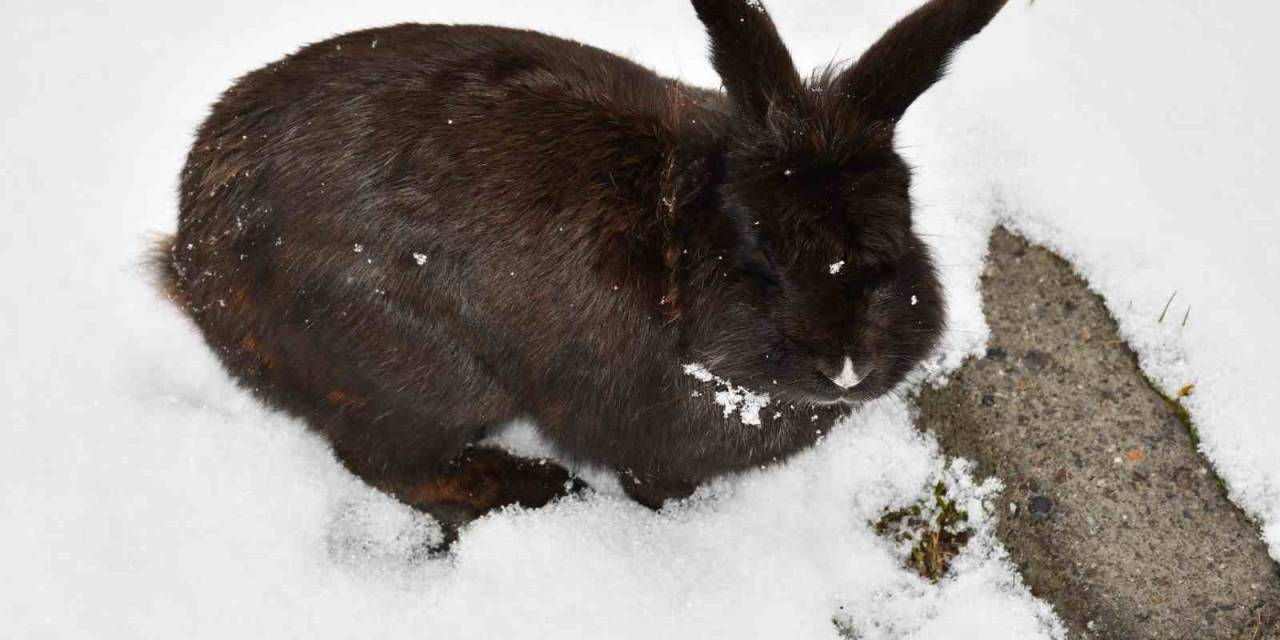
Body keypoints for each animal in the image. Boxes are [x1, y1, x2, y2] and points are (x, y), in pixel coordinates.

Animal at [152, 0, 1008, 529]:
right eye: (760, 253)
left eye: (900, 235)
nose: (846, 368)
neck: (674, 239)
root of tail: (195, 262)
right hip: (425, 377)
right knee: (391, 462)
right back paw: (533, 488)